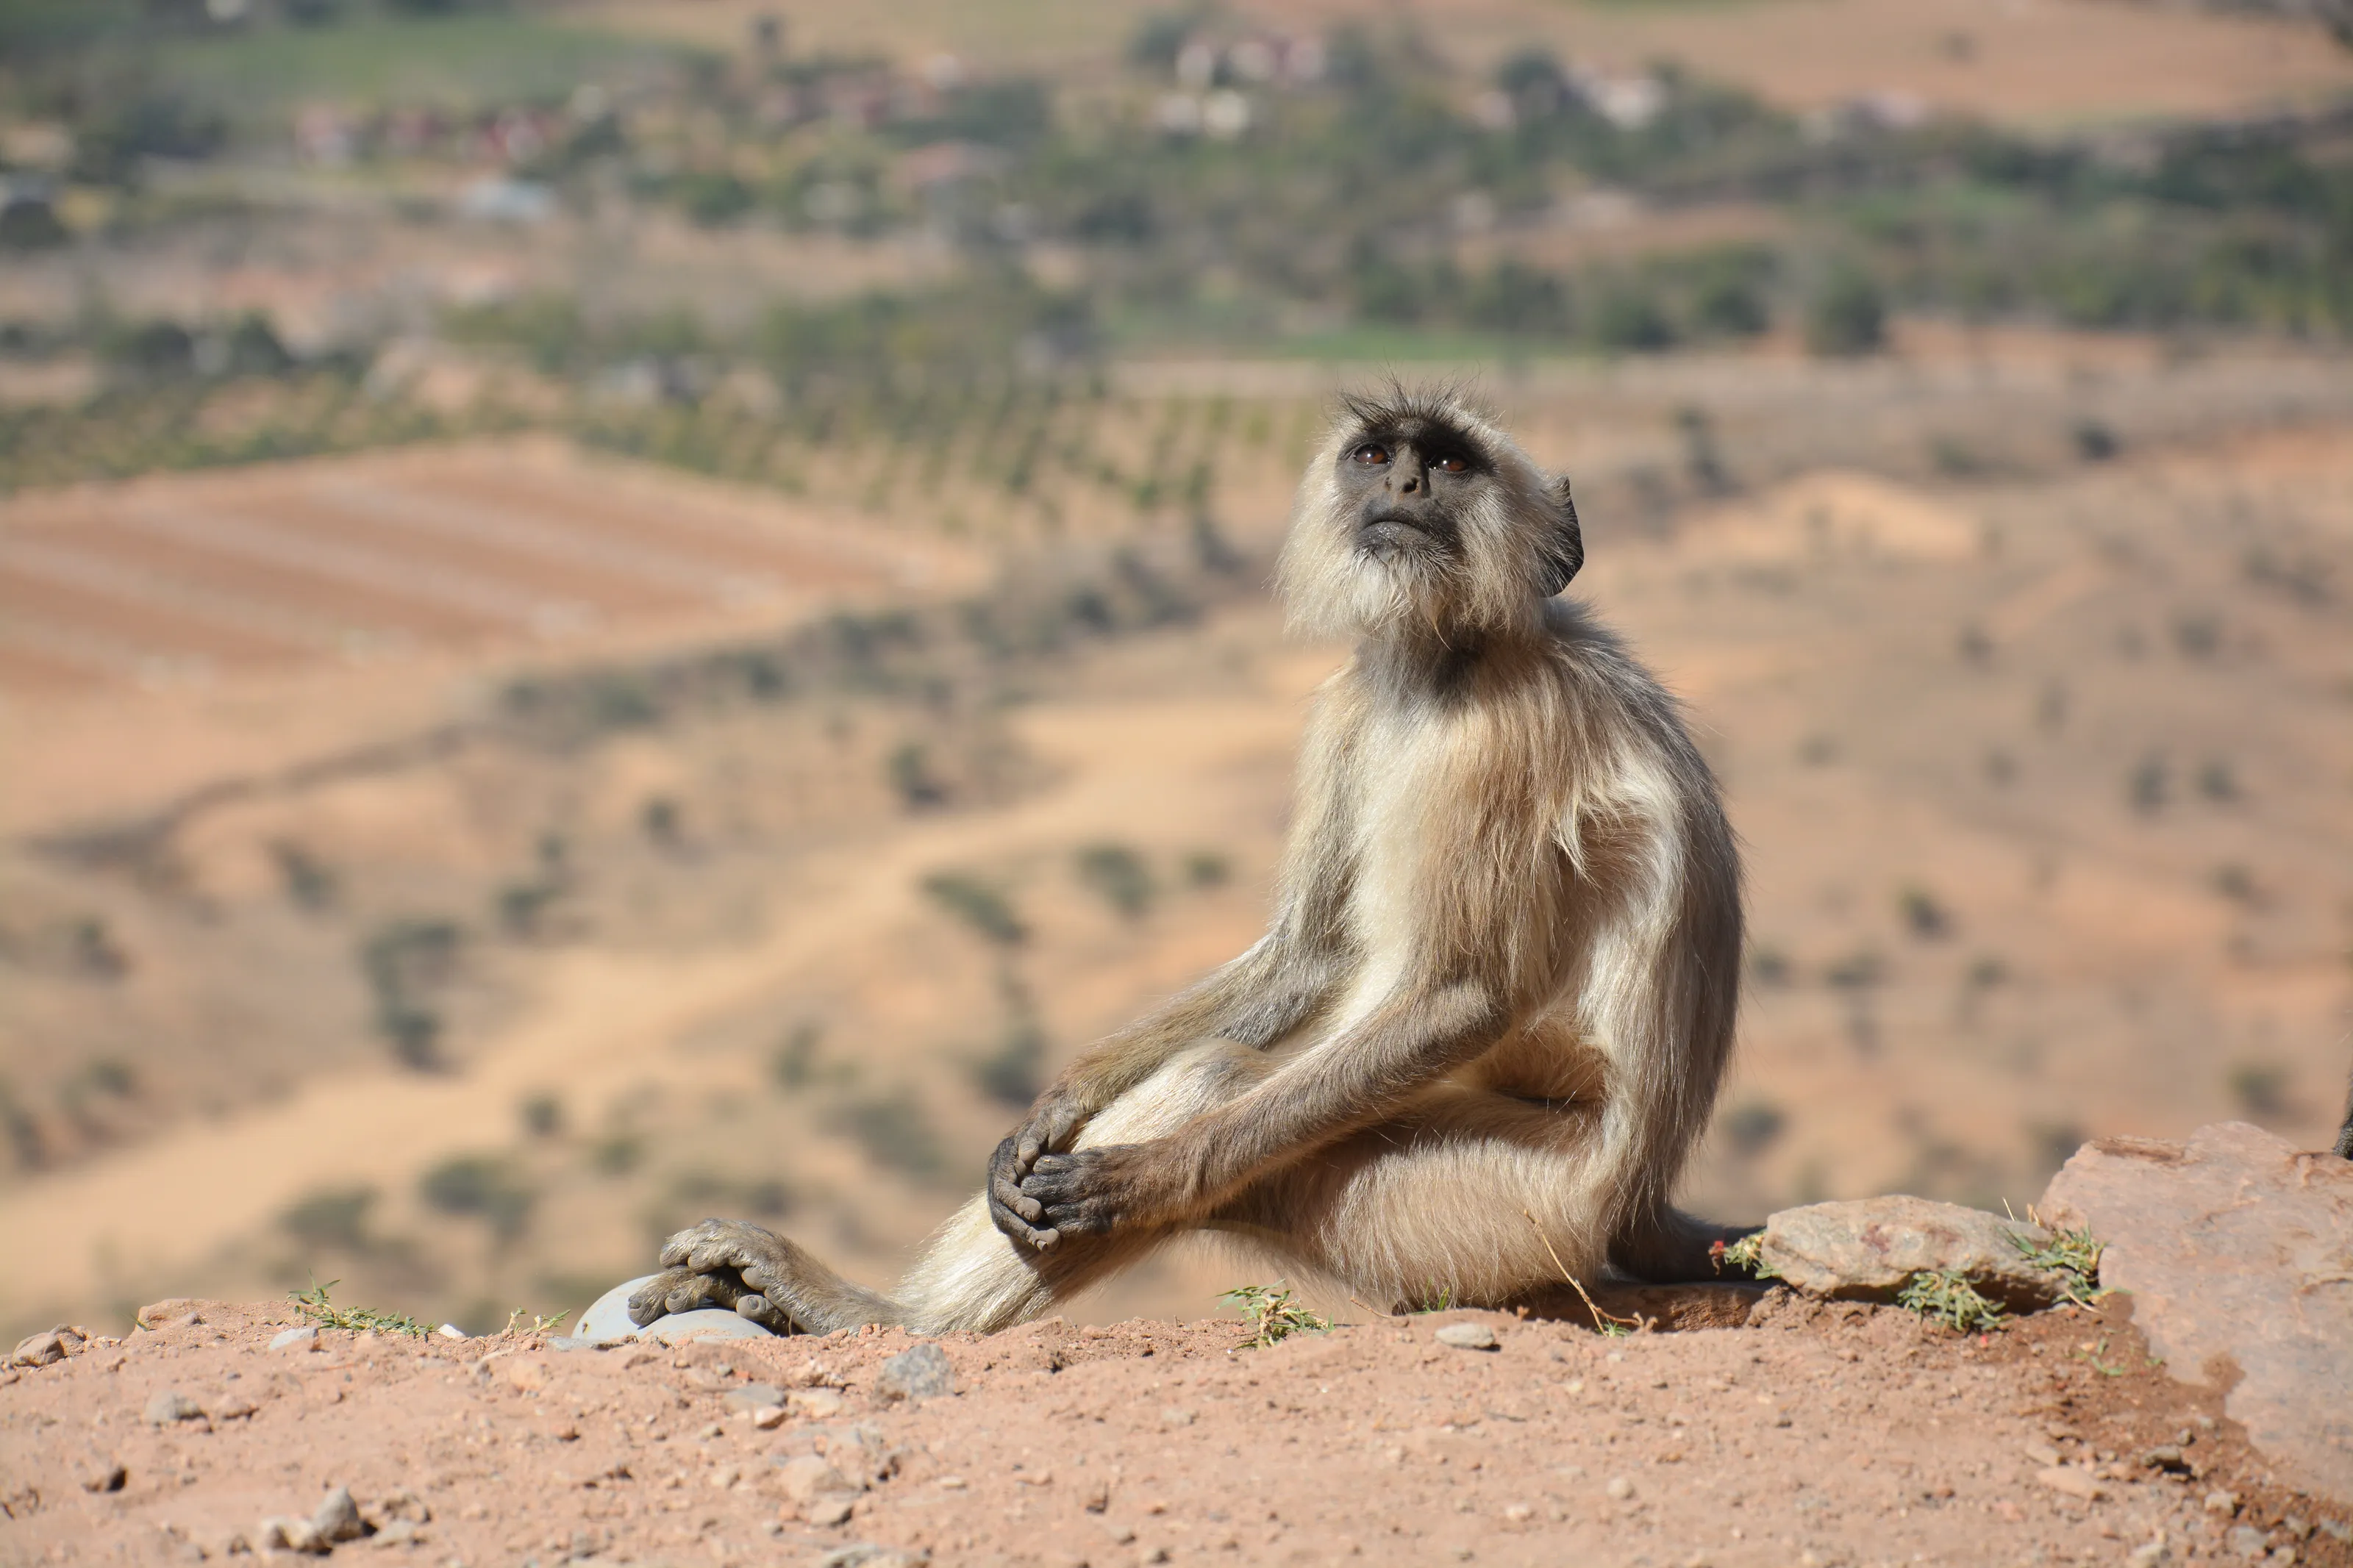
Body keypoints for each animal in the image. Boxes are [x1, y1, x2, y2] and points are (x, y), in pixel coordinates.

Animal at [630, 384, 1745, 1337]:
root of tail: (1634, 1200)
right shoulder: (1350, 698)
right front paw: (1059, 1104)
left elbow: (1461, 993)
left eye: (1453, 462)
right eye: (1377, 454)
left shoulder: (1508, 733)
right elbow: (1311, 954)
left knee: (1222, 1079)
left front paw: (1147, 1176)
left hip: (1478, 1215)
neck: (1446, 662)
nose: (1403, 491)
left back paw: (871, 1316)